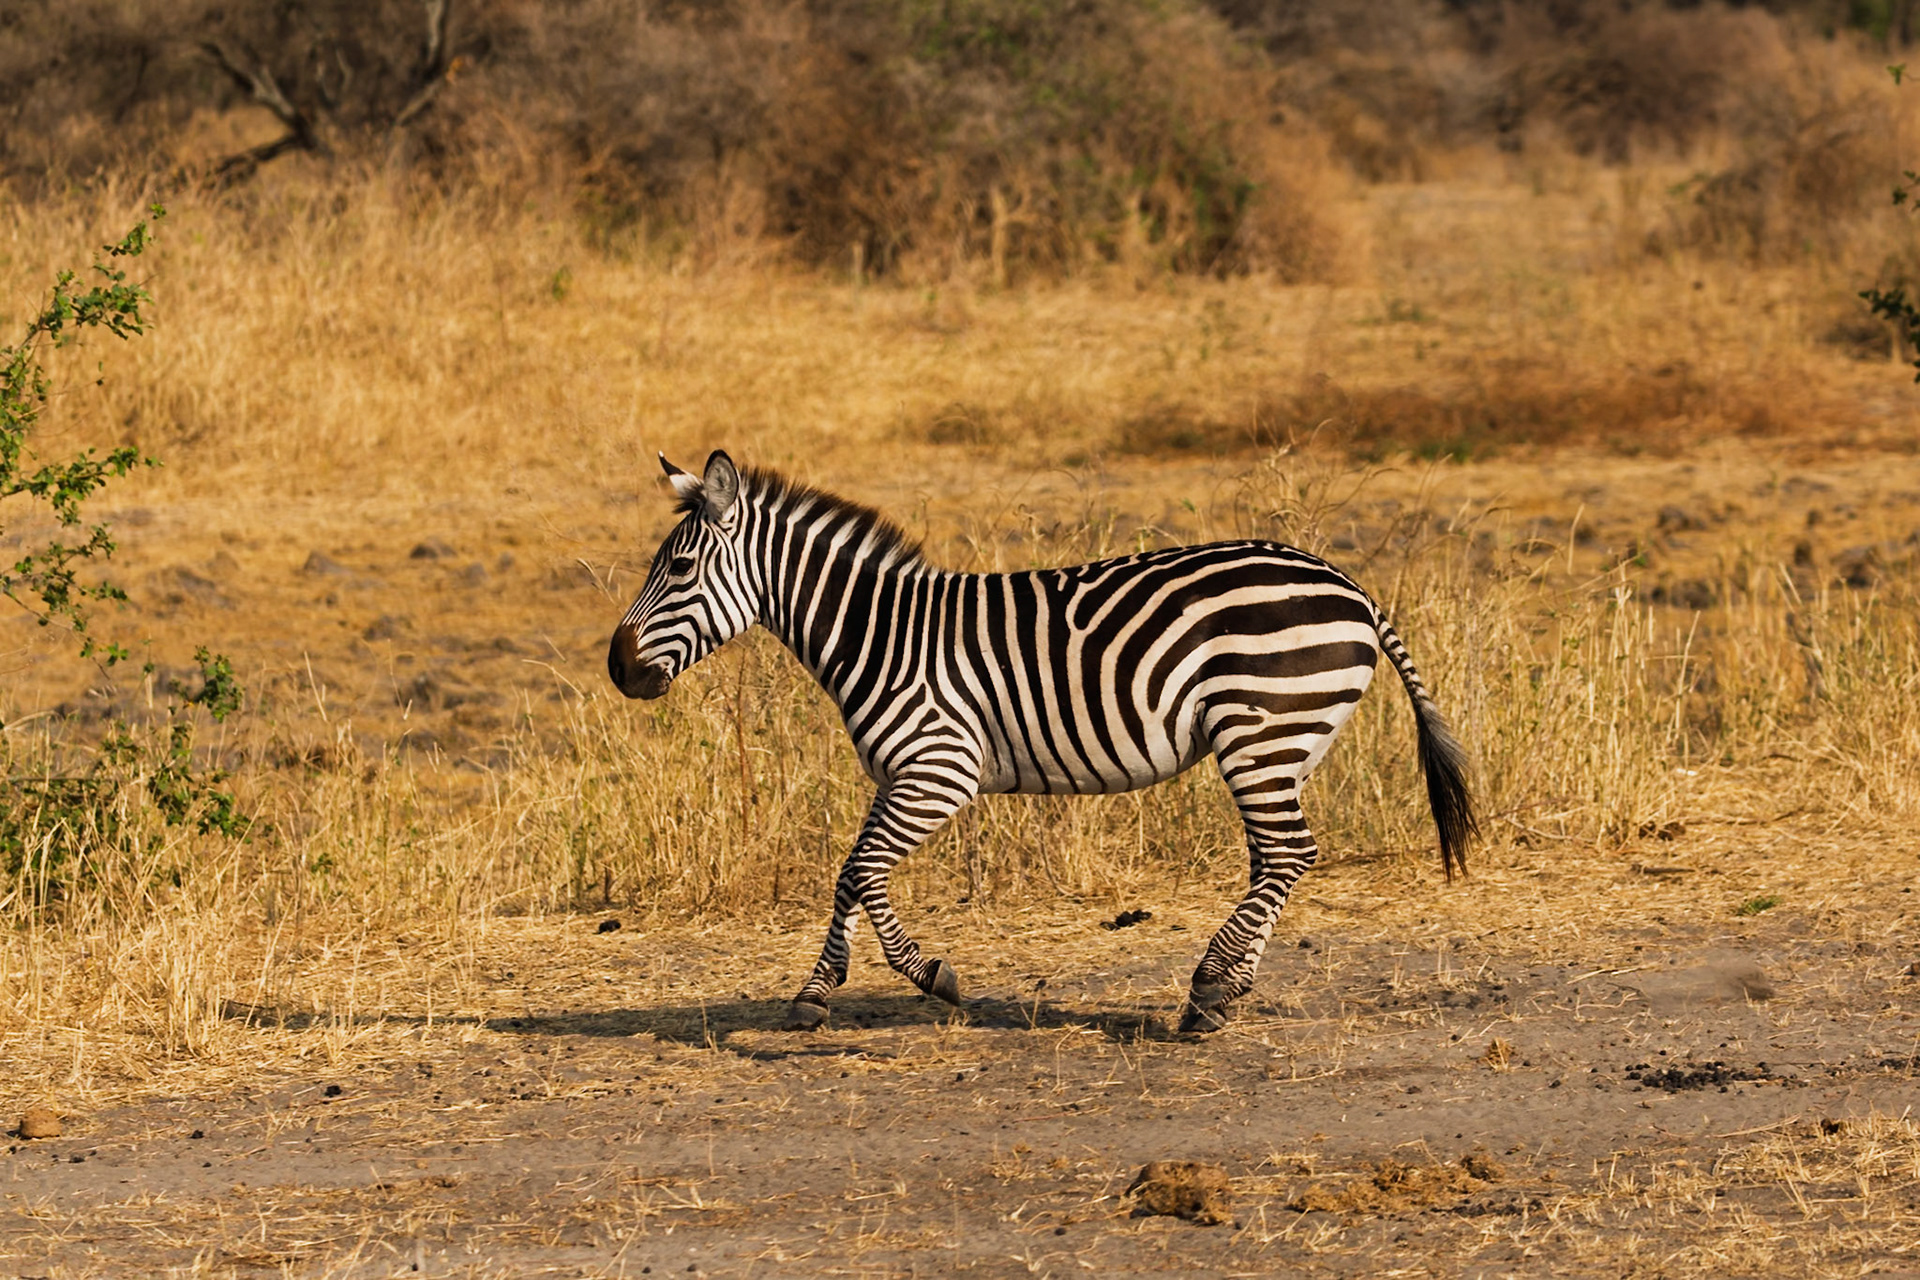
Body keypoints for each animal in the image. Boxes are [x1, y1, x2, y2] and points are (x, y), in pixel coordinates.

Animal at [608, 451, 1476, 1033]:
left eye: (677, 569)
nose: (617, 669)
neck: (878, 633)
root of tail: (1347, 581)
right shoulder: (898, 776)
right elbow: (853, 877)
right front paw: (818, 991)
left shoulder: (940, 769)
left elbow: (858, 871)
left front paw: (930, 977)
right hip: (1284, 741)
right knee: (1277, 859)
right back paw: (1225, 995)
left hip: (1261, 730)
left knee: (1289, 854)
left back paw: (1207, 990)